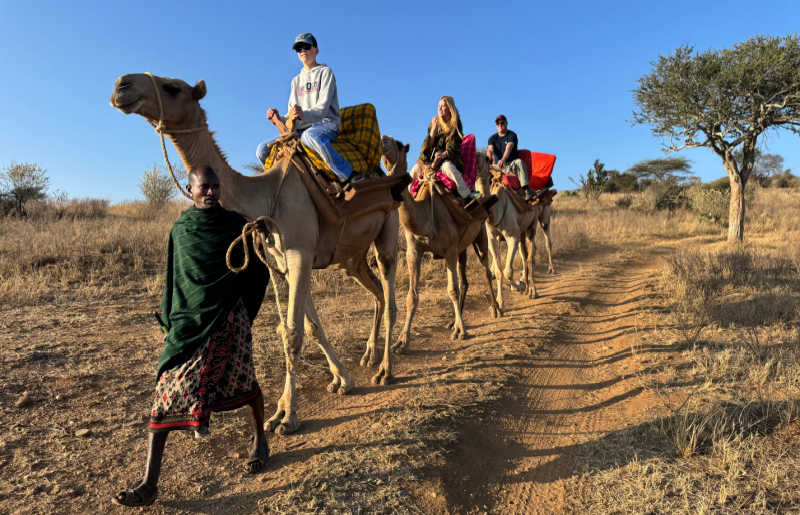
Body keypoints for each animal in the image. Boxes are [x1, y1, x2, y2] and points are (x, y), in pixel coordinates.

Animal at [111, 73, 401, 435]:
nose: (121, 86)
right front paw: (337, 382)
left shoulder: (300, 252)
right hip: (352, 256)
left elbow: (292, 333)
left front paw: (288, 417)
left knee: (389, 294)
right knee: (376, 292)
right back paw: (368, 358)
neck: (263, 198)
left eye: (173, 87)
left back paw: (385, 370)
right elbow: (307, 327)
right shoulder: (280, 261)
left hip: (388, 229)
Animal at [380, 136, 500, 352]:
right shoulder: (414, 251)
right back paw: (453, 321)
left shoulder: (449, 250)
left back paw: (495, 310)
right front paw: (401, 340)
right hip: (462, 248)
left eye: (398, 144)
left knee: (486, 270)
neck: (424, 217)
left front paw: (461, 332)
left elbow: (452, 290)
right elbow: (412, 296)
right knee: (465, 280)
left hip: (480, 236)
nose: (382, 139)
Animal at [475, 150, 556, 300]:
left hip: (540, 220)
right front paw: (501, 301)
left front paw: (518, 286)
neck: (495, 211)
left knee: (538, 249)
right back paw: (527, 284)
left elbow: (508, 271)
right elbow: (499, 271)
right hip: (523, 231)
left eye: (485, 158)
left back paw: (538, 284)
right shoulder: (492, 238)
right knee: (526, 255)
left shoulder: (513, 236)